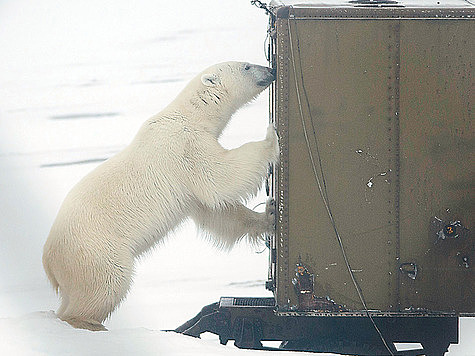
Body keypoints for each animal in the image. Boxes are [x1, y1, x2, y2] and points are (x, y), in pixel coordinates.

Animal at [41, 61, 278, 330]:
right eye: (246, 66)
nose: (271, 71)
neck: (191, 115)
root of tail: (49, 263)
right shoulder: (186, 146)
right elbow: (218, 177)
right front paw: (270, 138)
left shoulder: (189, 184)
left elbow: (217, 211)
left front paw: (269, 215)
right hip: (95, 250)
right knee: (107, 283)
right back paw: (90, 323)